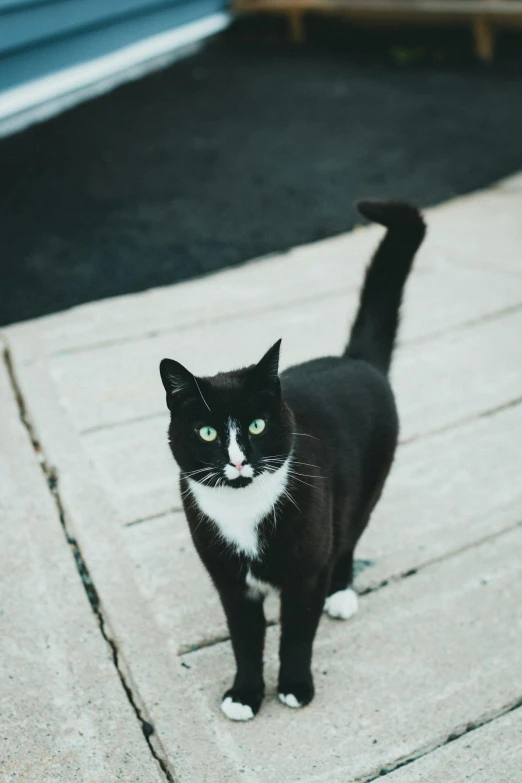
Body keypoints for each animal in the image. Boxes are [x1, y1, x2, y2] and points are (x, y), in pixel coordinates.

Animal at [160, 201, 424, 724]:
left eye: (258, 425)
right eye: (207, 433)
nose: (238, 460)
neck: (244, 510)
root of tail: (354, 360)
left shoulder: (305, 574)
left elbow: (297, 633)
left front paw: (296, 687)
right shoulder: (231, 583)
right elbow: (245, 640)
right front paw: (244, 694)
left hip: (364, 490)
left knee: (346, 539)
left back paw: (342, 594)